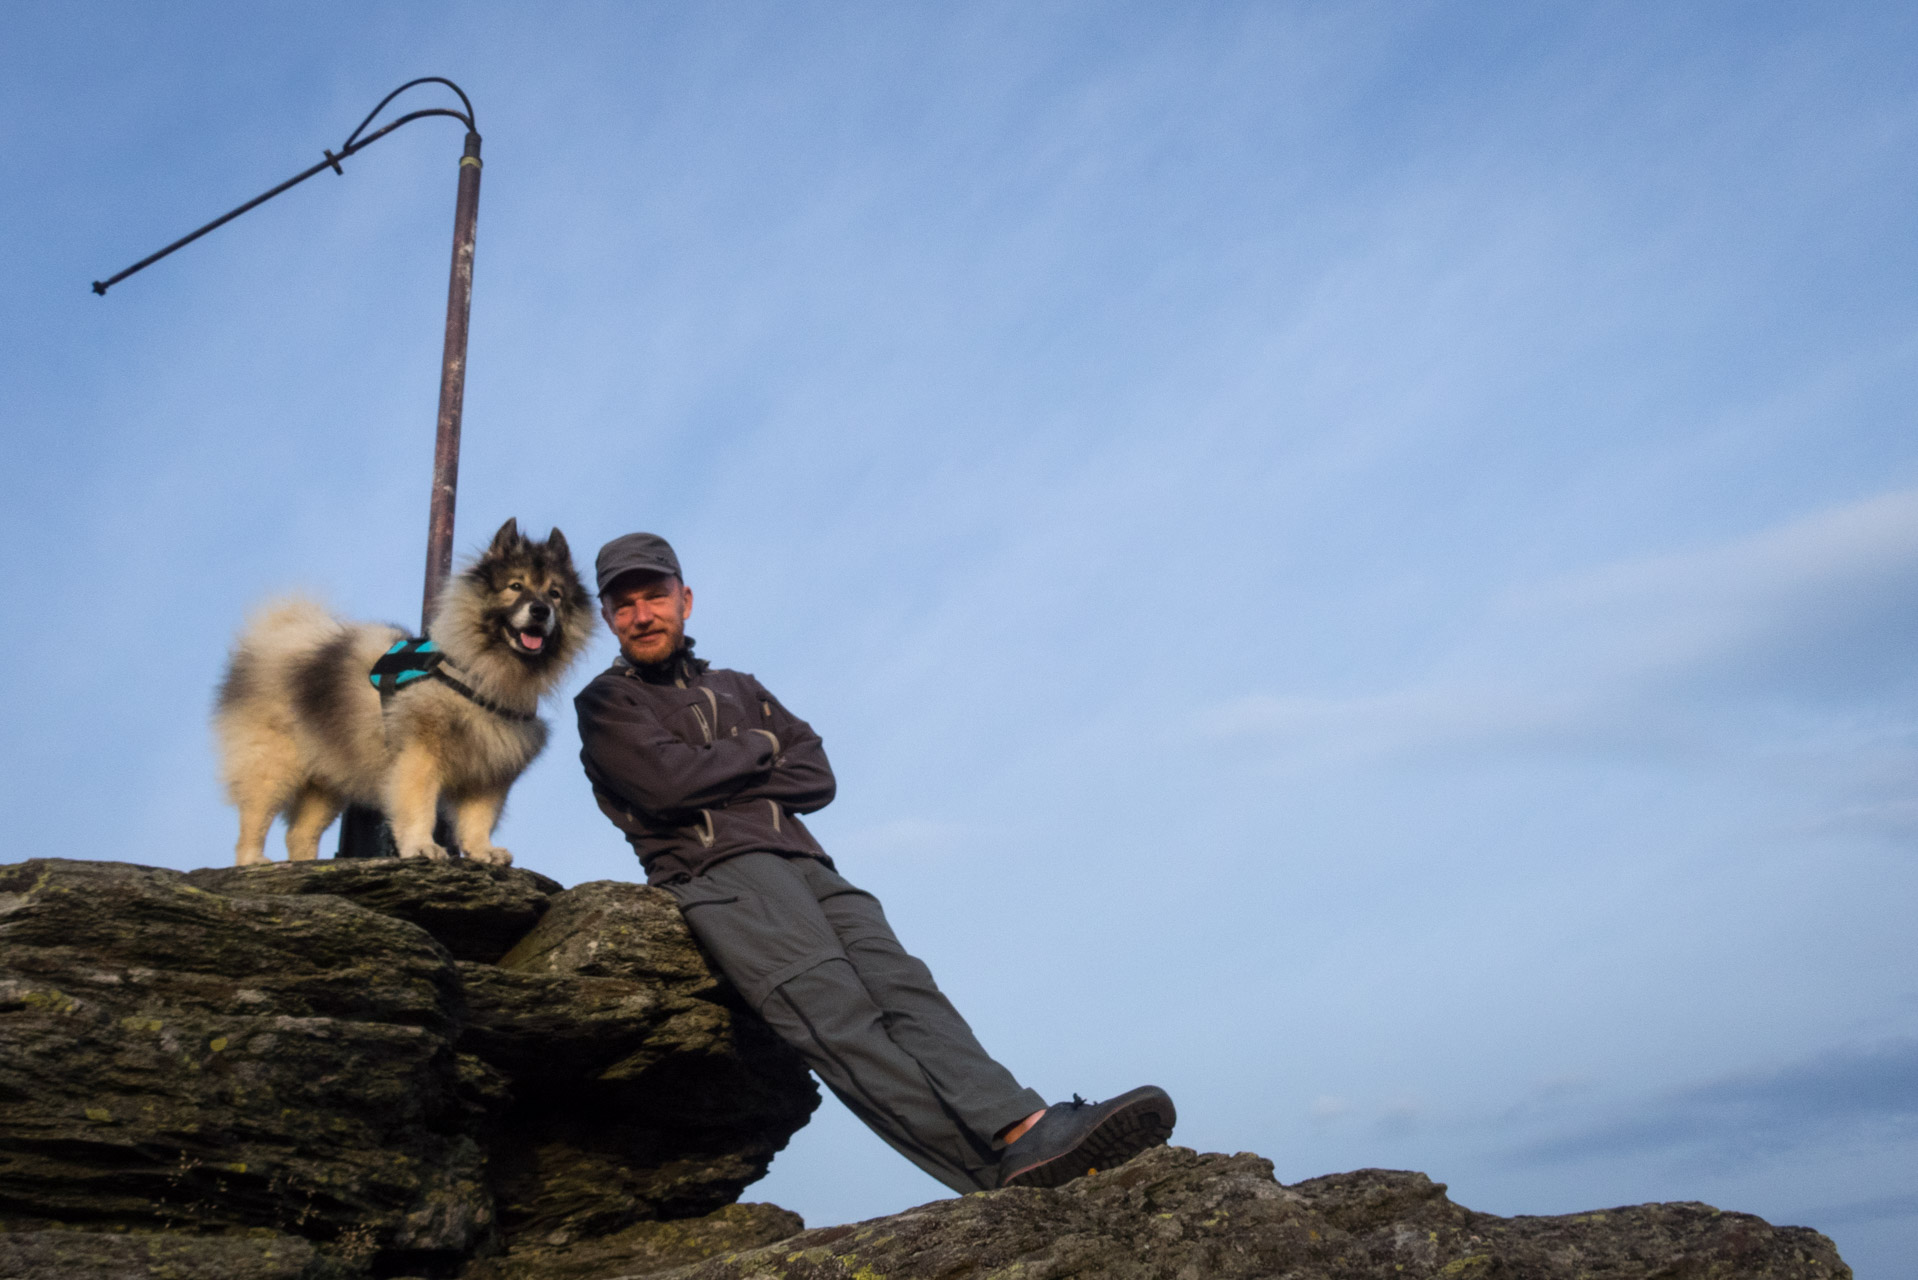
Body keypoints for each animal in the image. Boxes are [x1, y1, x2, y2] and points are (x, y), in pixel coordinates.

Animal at [213, 521, 594, 871]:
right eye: (516, 586)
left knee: (300, 833)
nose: (540, 610)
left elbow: (478, 819)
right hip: (274, 764)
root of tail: (276, 637)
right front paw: (422, 846)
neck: (479, 673)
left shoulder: (489, 769)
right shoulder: (420, 755)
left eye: (555, 594)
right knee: (254, 818)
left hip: (329, 777)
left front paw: (483, 851)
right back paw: (252, 860)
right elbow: (419, 807)